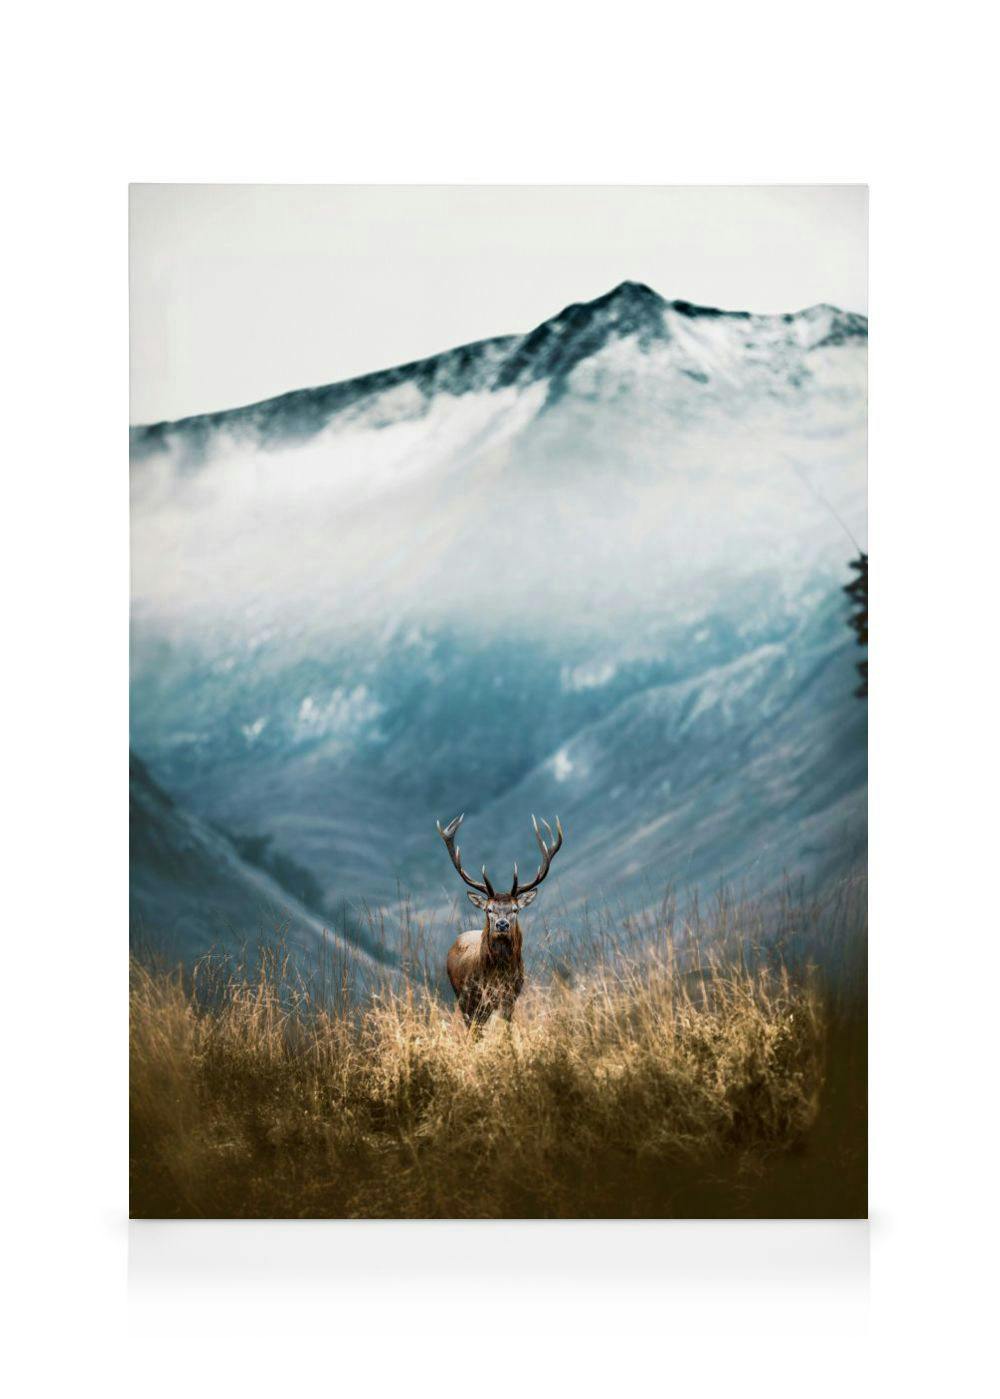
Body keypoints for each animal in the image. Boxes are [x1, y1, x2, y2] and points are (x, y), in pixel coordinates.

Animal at [436, 812, 564, 1029]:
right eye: (489, 909)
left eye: (515, 909)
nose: (502, 924)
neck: (498, 978)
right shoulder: (474, 999)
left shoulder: (510, 998)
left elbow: (507, 1030)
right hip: (461, 997)